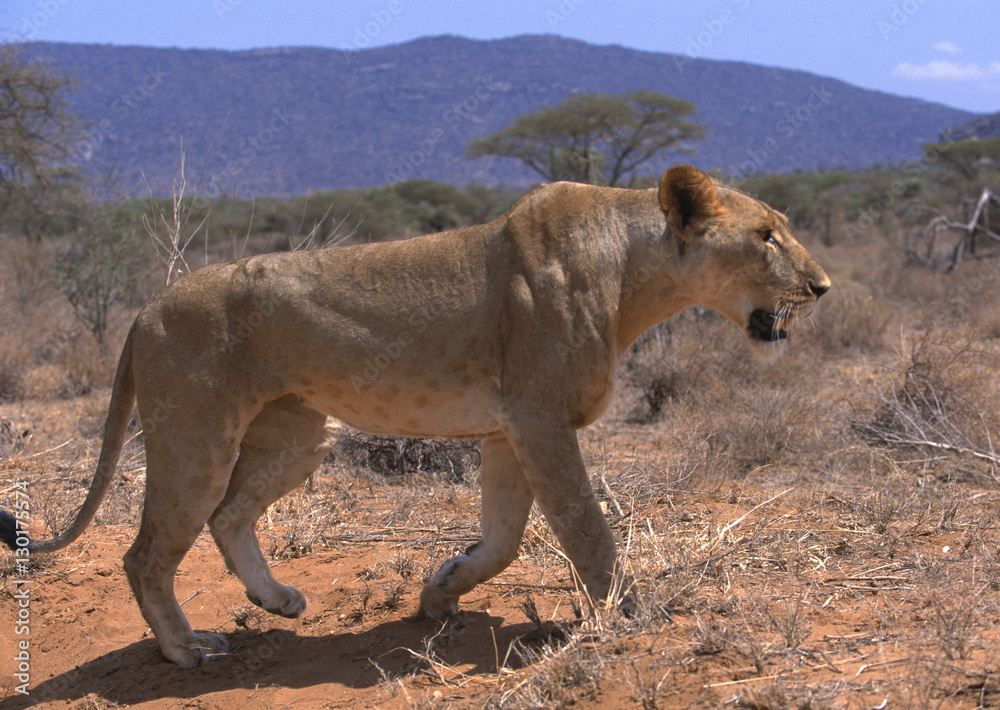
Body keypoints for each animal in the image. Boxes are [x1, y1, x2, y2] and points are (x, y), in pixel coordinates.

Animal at [0, 165, 829, 667]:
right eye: (767, 236)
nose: (821, 286)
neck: (635, 275)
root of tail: (143, 310)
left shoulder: (507, 430)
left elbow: (502, 542)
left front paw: (439, 593)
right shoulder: (540, 420)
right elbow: (586, 530)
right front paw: (626, 615)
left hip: (300, 434)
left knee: (229, 515)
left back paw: (278, 601)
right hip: (196, 438)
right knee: (147, 553)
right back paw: (188, 650)